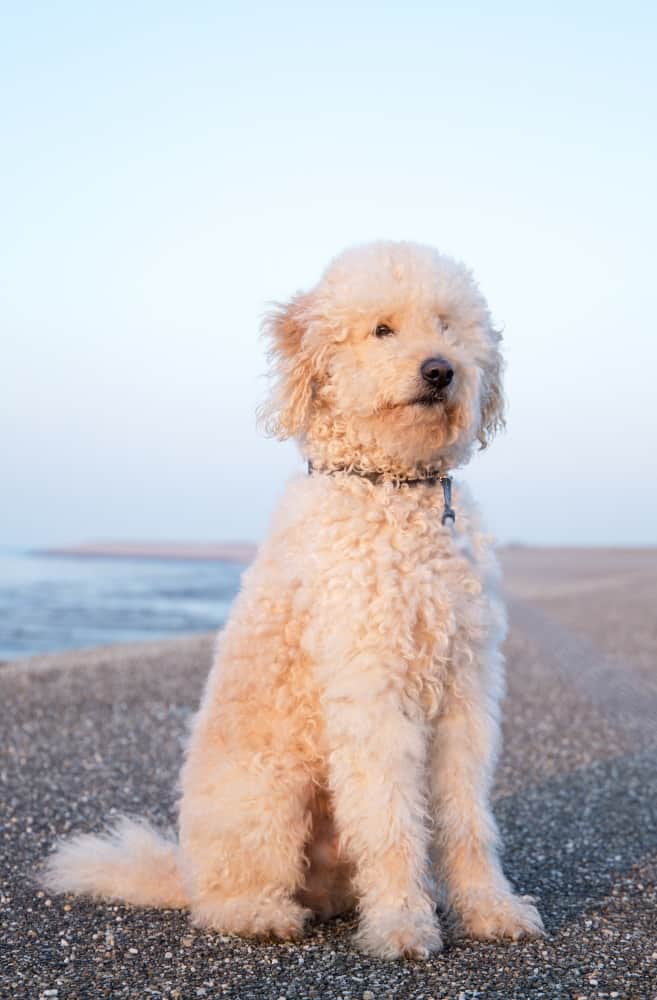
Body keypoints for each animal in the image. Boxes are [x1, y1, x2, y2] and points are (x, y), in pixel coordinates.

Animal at [42, 238, 544, 956]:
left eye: (448, 325)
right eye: (381, 329)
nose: (440, 370)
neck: (392, 491)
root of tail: (183, 870)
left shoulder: (466, 692)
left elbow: (467, 820)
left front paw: (489, 909)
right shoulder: (371, 694)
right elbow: (391, 822)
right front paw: (401, 923)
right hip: (269, 794)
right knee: (227, 897)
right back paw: (261, 914)